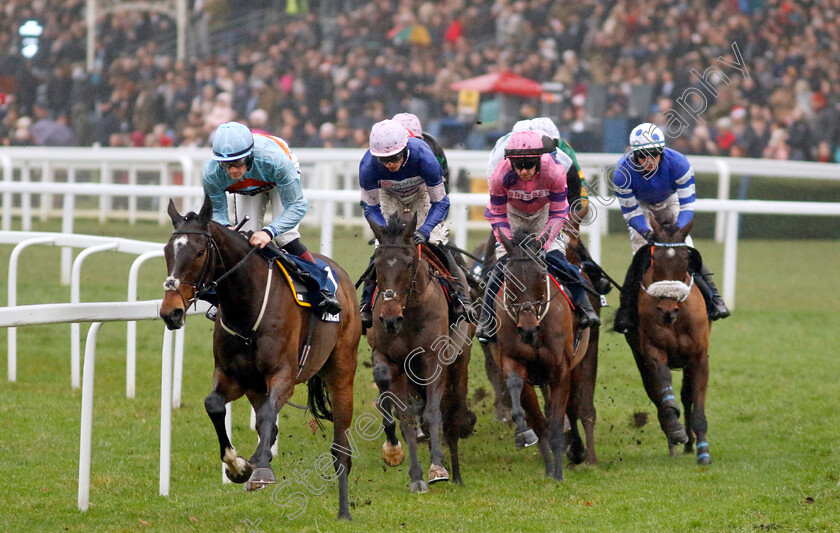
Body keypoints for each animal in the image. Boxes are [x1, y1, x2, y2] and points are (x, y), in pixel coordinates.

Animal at [159, 195, 360, 516]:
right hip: (255, 386)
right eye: (167, 251)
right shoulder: (232, 375)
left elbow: (267, 415)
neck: (247, 306)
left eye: (200, 252)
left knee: (339, 436)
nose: (171, 312)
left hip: (342, 368)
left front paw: (261, 471)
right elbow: (215, 404)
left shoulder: (284, 375)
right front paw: (238, 466)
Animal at [366, 214, 476, 492]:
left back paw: (456, 473)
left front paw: (437, 468)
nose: (390, 318)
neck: (411, 309)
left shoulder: (433, 359)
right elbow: (403, 415)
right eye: (377, 264)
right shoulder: (388, 358)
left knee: (452, 416)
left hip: (460, 362)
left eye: (408, 263)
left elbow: (433, 413)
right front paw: (409, 468)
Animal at [620, 218, 712, 464]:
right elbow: (662, 383)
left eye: (685, 260)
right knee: (654, 390)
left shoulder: (699, 356)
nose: (667, 309)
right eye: (655, 260)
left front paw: (702, 451)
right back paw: (673, 439)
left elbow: (695, 399)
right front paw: (675, 429)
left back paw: (689, 444)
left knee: (686, 395)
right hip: (638, 356)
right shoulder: (652, 351)